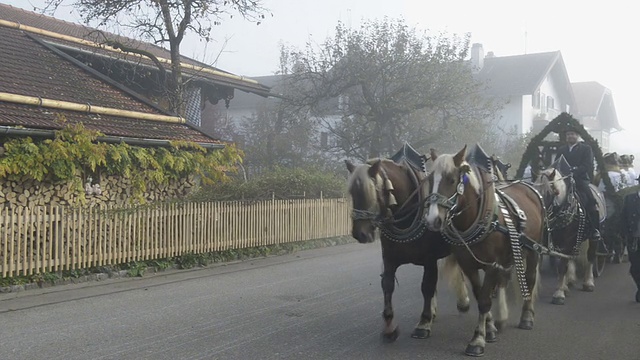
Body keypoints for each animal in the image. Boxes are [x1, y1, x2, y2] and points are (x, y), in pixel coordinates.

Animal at [348, 159, 468, 342]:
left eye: (370, 192)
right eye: (352, 193)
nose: (359, 234)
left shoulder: (429, 259)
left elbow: (427, 287)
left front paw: (423, 323)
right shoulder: (389, 259)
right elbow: (388, 285)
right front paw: (389, 325)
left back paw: (463, 302)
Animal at [424, 144, 544, 358]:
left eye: (451, 179)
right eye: (430, 179)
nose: (432, 220)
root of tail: (528, 186)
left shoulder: (492, 265)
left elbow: (485, 301)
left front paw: (477, 339)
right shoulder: (468, 265)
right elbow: (481, 295)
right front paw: (490, 329)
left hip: (533, 250)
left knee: (529, 279)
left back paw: (527, 317)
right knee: (504, 280)